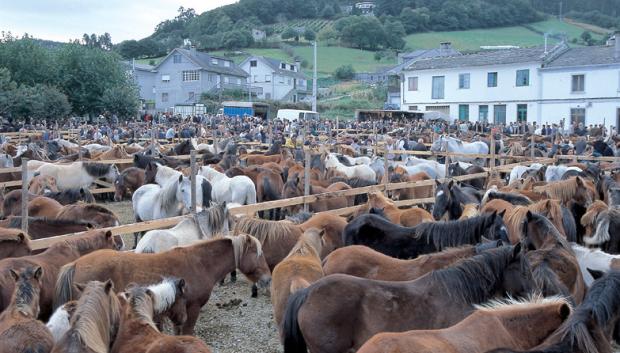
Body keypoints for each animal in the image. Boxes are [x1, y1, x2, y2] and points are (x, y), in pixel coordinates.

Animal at [54, 235, 272, 334]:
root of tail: (76, 263)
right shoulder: (192, 308)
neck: (199, 263)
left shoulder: (178, 310)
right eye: (258, 253)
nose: (268, 279)